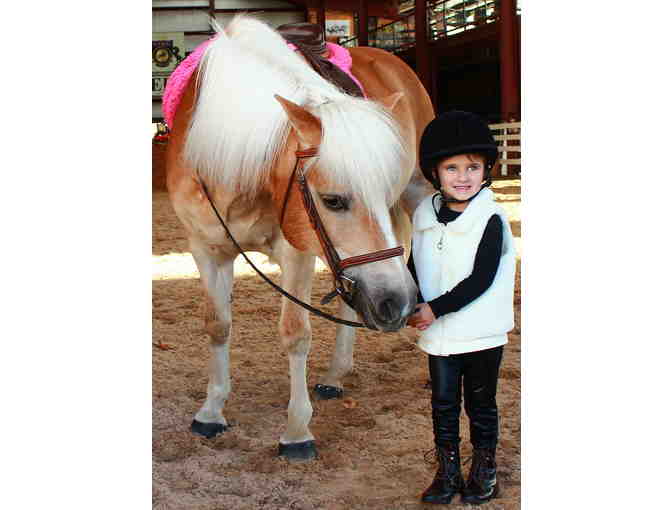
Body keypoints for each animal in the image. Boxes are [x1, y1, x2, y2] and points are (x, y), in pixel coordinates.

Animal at [165, 15, 435, 460]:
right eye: (333, 200)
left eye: (383, 192)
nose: (397, 304)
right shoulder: (206, 249)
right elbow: (217, 324)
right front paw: (211, 410)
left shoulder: (296, 253)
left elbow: (295, 334)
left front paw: (296, 431)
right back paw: (335, 375)